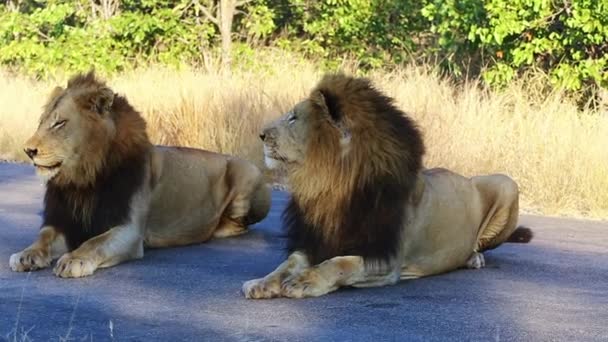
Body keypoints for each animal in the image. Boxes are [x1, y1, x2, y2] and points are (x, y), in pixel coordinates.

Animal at [8, 71, 270, 278]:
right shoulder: (64, 221)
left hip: (247, 173)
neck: (83, 178)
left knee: (239, 224)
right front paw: (26, 254)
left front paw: (75, 259)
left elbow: (95, 243)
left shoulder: (129, 230)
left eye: (59, 123)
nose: (28, 151)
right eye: (41, 122)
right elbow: (43, 237)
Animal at [242, 73, 532, 298]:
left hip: (505, 183)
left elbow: (339, 264)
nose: (261, 134)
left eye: (294, 118)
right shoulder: (317, 241)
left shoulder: (387, 257)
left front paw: (304, 282)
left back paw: (473, 257)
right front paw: (262, 283)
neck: (334, 187)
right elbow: (290, 262)